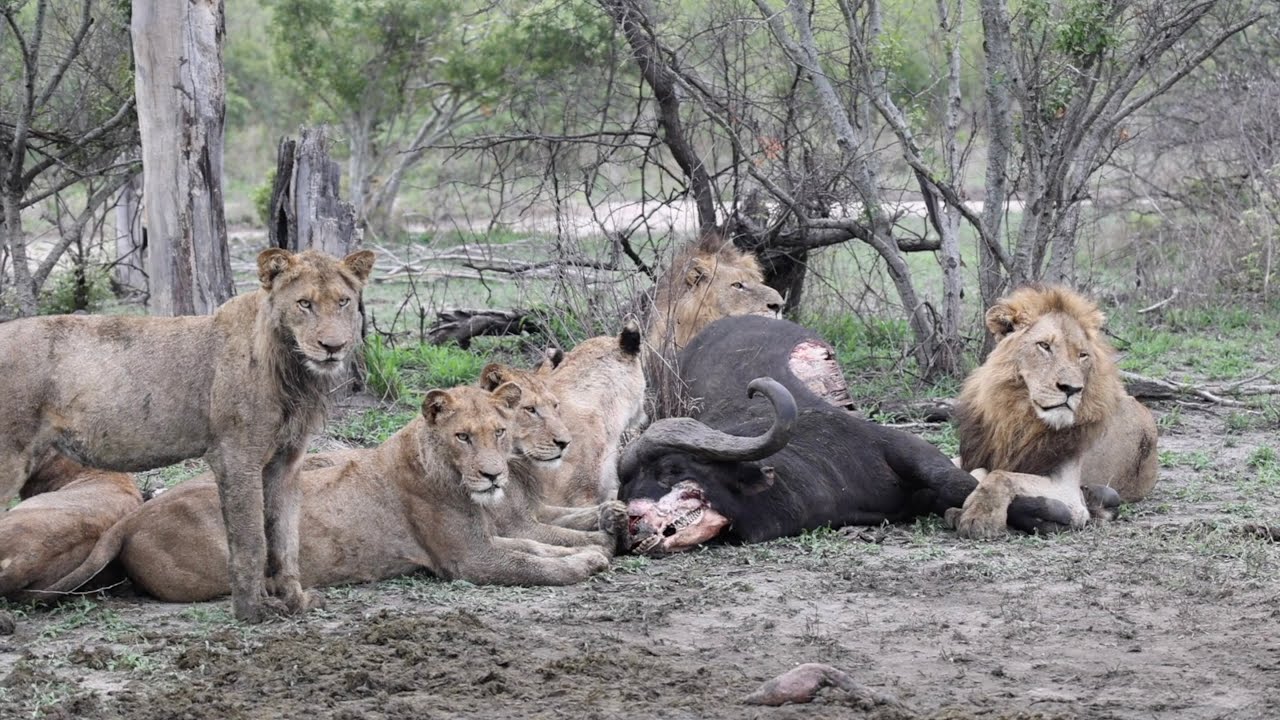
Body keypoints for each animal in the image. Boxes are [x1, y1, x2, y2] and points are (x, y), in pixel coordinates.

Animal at [620, 315, 1076, 553]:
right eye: (625, 489)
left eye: (670, 469)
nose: (632, 525)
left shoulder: (908, 450)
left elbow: (959, 483)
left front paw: (1051, 512)